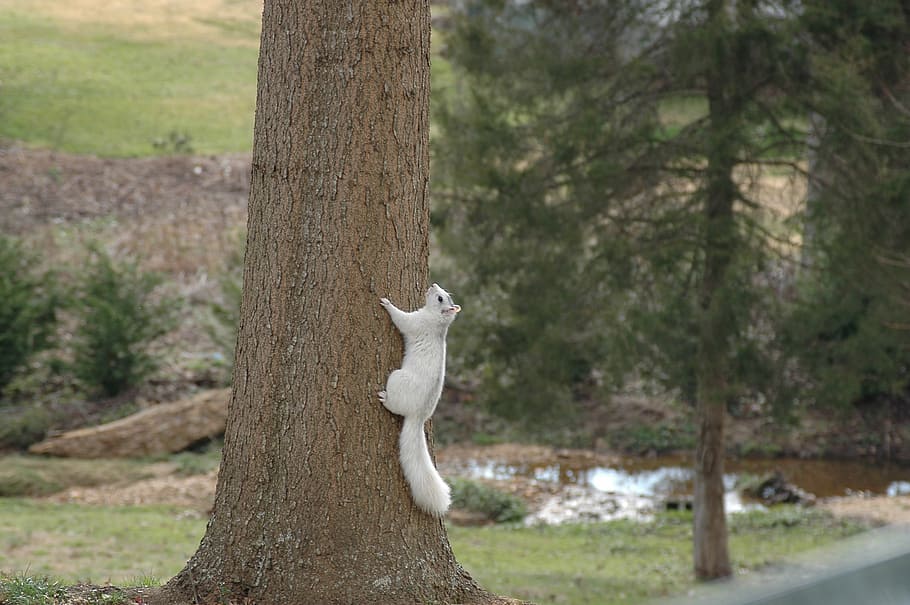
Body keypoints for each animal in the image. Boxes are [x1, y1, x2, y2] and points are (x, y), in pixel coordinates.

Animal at [378, 283, 461, 516]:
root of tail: (418, 415)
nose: (432, 285)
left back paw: (385, 398)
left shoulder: (416, 322)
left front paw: (388, 304)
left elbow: (401, 319)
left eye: (440, 298)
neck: (437, 321)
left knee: (394, 406)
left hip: (397, 379)